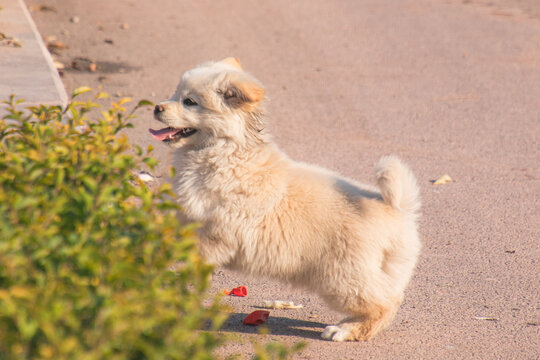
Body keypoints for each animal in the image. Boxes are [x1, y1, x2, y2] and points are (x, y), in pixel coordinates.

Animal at [149, 57, 422, 342]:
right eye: (175, 94)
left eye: (190, 102)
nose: (157, 108)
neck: (223, 151)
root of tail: (398, 209)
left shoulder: (214, 235)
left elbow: (192, 260)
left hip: (342, 277)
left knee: (383, 305)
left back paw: (343, 330)